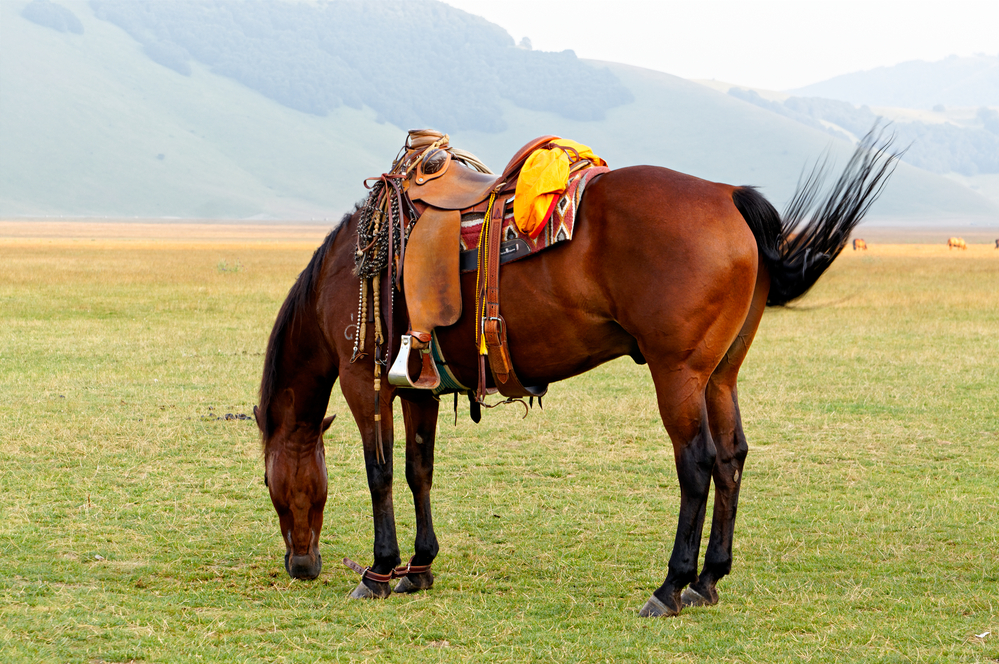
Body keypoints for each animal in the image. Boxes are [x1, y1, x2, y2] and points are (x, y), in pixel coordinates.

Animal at [258, 131, 900, 616]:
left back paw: (670, 587)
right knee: (731, 457)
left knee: (696, 464)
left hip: (679, 372)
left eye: (268, 483)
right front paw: (419, 567)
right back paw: (708, 580)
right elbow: (420, 472)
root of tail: (727, 196)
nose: (301, 565)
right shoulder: (419, 389)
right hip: (720, 375)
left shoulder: (361, 381)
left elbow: (380, 473)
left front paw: (380, 571)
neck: (349, 266)